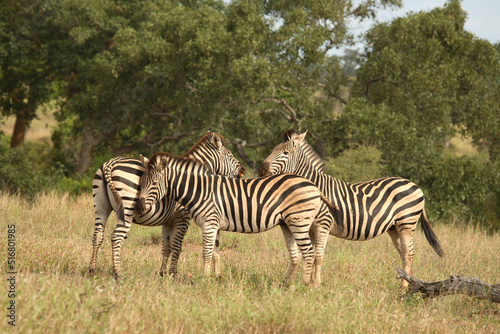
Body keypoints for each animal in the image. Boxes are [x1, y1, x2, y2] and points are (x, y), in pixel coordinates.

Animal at [91, 132, 247, 278]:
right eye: (230, 154)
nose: (243, 170)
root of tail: (110, 163)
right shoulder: (183, 218)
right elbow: (177, 247)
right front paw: (174, 274)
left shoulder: (168, 221)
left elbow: (166, 247)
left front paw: (163, 273)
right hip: (127, 209)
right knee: (116, 237)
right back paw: (118, 272)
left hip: (101, 207)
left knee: (98, 235)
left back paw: (92, 269)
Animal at [136, 153, 344, 286]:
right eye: (140, 182)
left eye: (154, 183)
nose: (139, 206)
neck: (200, 190)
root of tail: (314, 186)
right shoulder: (216, 225)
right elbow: (216, 253)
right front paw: (215, 278)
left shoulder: (209, 223)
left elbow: (206, 253)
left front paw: (203, 280)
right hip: (287, 223)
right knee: (296, 254)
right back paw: (286, 284)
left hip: (299, 221)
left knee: (309, 252)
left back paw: (305, 284)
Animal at [260, 129, 444, 288]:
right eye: (273, 150)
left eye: (285, 153)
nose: (262, 169)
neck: (315, 187)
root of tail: (415, 185)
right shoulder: (311, 227)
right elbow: (311, 253)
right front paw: (311, 282)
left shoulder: (323, 224)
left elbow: (318, 255)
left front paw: (315, 284)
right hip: (394, 227)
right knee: (404, 253)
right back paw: (408, 284)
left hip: (407, 222)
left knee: (409, 253)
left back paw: (404, 287)